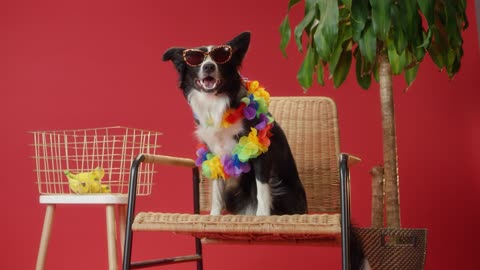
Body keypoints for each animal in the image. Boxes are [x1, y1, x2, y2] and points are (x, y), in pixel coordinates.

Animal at [163, 32, 308, 217]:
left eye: (221, 57)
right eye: (194, 59)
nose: (208, 66)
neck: (216, 102)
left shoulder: (261, 151)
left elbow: (262, 189)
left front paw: (262, 216)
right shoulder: (215, 154)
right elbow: (217, 191)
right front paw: (214, 215)